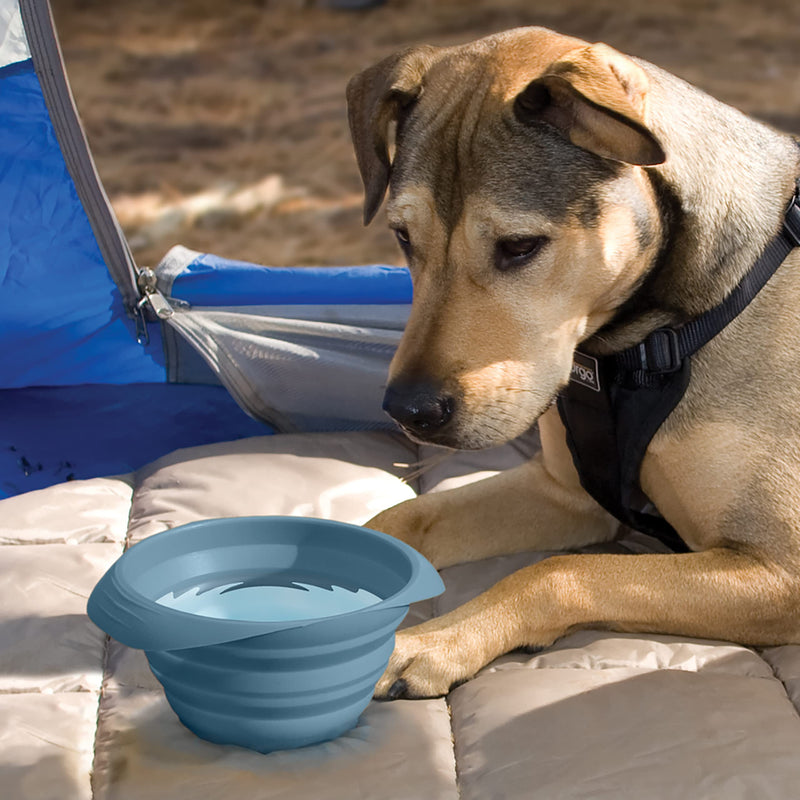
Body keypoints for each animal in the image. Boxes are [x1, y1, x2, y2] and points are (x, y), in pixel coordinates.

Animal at [346, 25, 800, 700]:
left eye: (519, 246)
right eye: (403, 237)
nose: (409, 411)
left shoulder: (779, 569)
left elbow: (558, 573)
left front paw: (433, 642)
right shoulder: (562, 492)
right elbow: (403, 517)